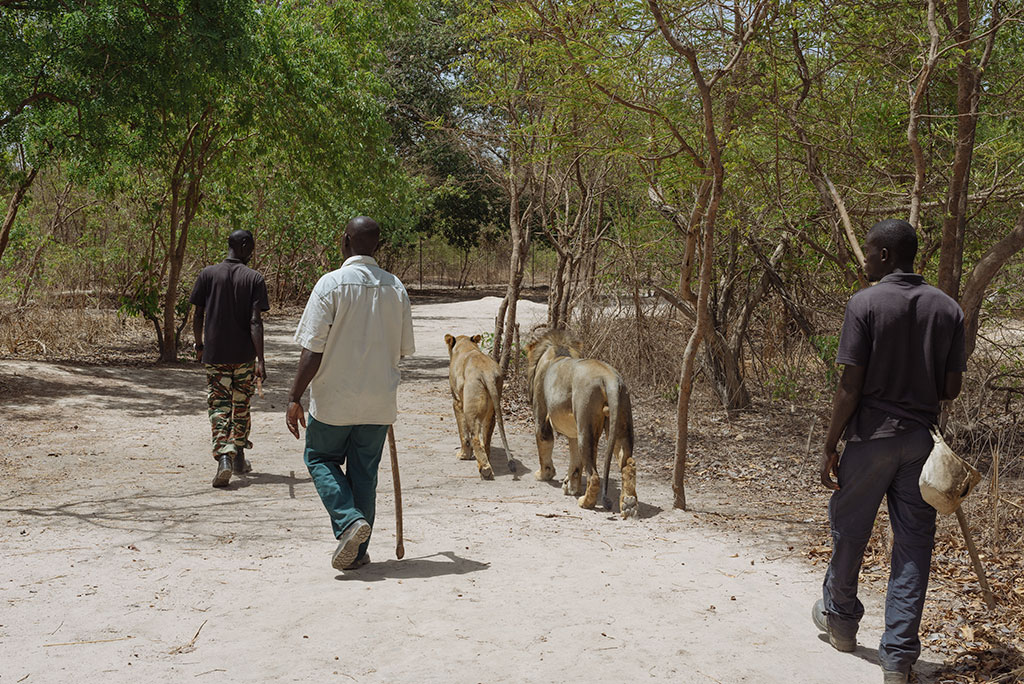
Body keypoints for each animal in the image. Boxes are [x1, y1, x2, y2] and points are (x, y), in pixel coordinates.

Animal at [446, 333, 516, 479]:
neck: (466, 344)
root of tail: (487, 373)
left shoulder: (457, 402)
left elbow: (463, 433)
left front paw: (463, 455)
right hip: (492, 409)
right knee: (487, 437)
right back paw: (485, 460)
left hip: (471, 409)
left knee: (475, 437)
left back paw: (485, 469)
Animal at [524, 329, 634, 518]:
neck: (558, 352)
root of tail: (610, 378)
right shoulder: (573, 431)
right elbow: (575, 462)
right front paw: (571, 487)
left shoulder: (541, 418)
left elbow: (544, 444)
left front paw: (544, 474)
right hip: (620, 424)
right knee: (628, 464)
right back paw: (629, 504)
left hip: (586, 426)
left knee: (594, 475)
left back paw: (585, 502)